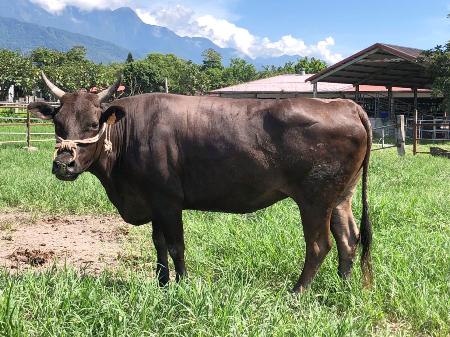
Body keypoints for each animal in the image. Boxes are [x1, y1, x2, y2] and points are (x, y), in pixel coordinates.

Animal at [29, 73, 372, 292]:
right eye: (58, 124)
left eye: (91, 124)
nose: (64, 164)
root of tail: (344, 104)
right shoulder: (153, 201)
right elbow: (158, 244)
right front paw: (162, 284)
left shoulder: (168, 201)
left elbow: (176, 245)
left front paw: (181, 285)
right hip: (341, 196)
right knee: (348, 239)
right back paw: (343, 285)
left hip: (314, 199)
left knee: (319, 244)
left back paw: (297, 292)